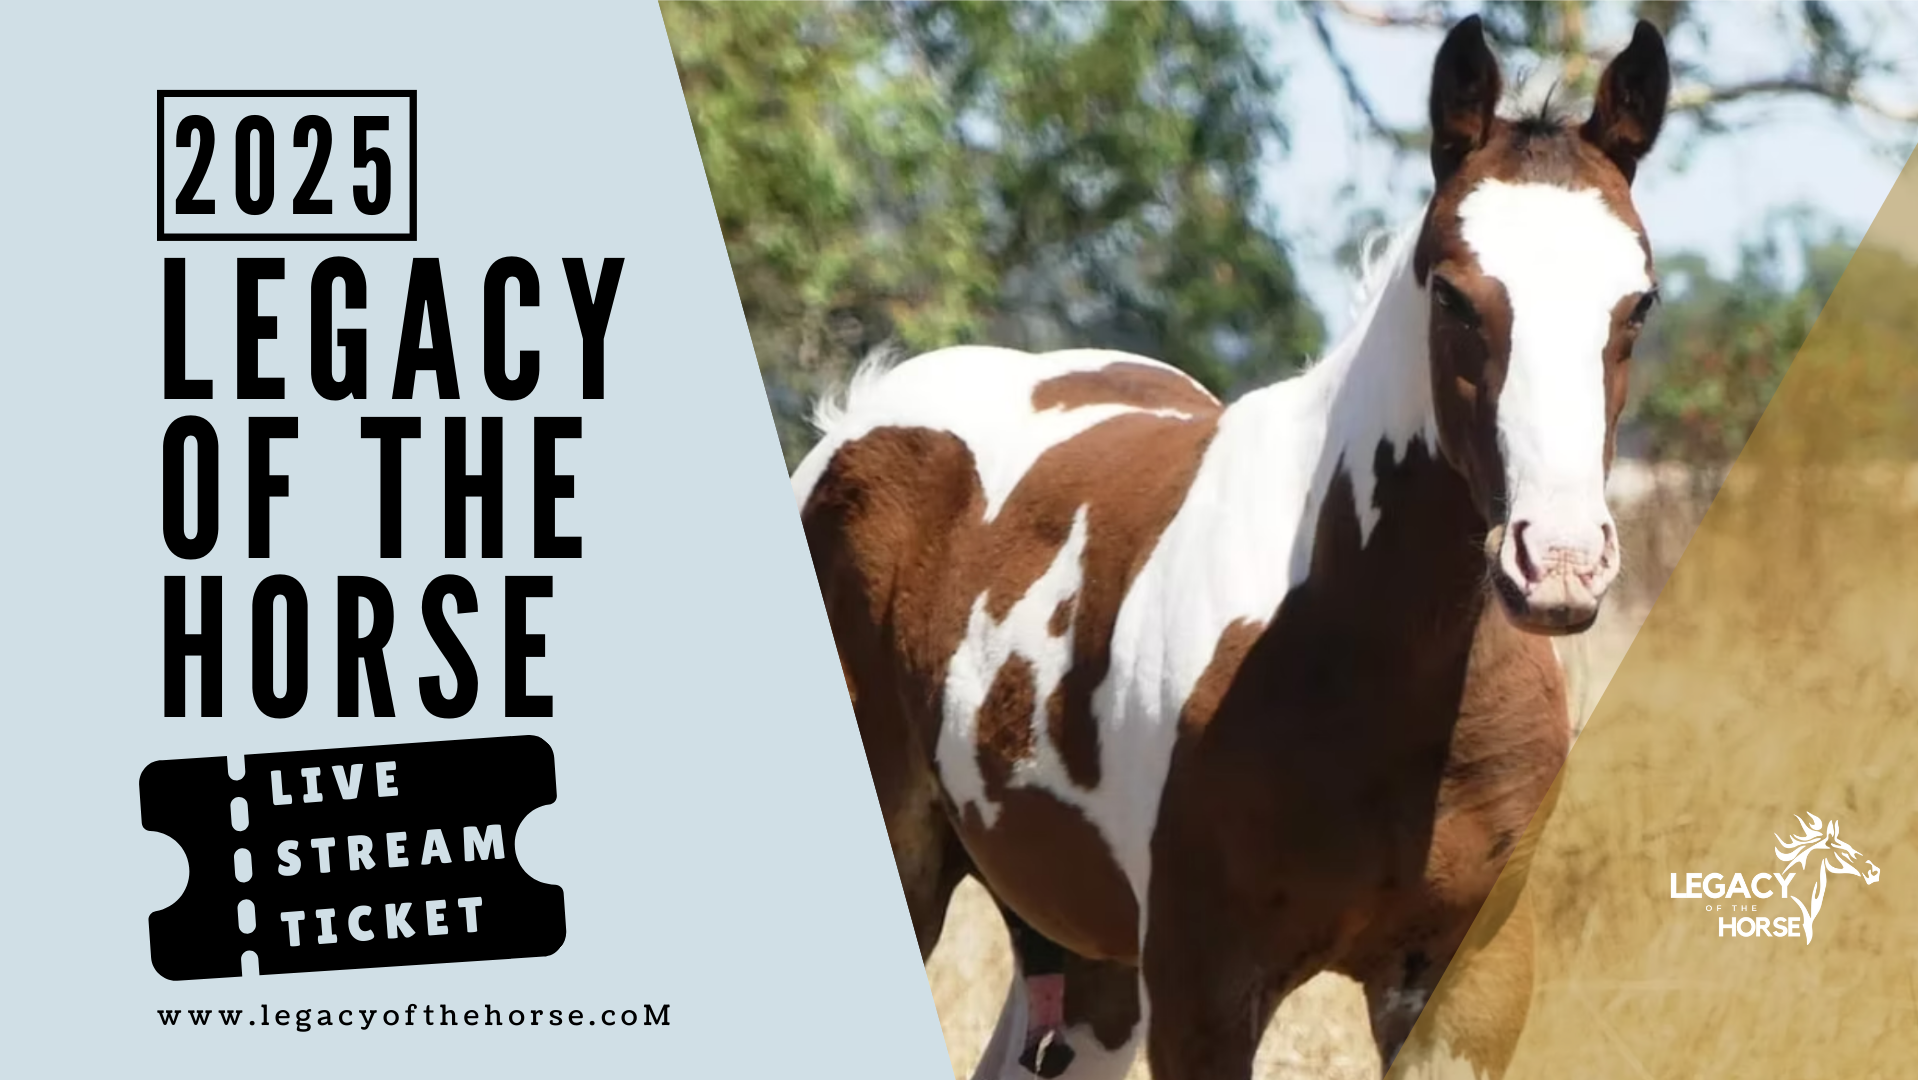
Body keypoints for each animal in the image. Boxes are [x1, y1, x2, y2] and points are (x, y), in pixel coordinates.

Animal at [792, 16, 1670, 1079]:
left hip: (1089, 966)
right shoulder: (1203, 990)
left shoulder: (1464, 985)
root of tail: (854, 419)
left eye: (1639, 303)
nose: (1562, 564)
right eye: (1456, 296)